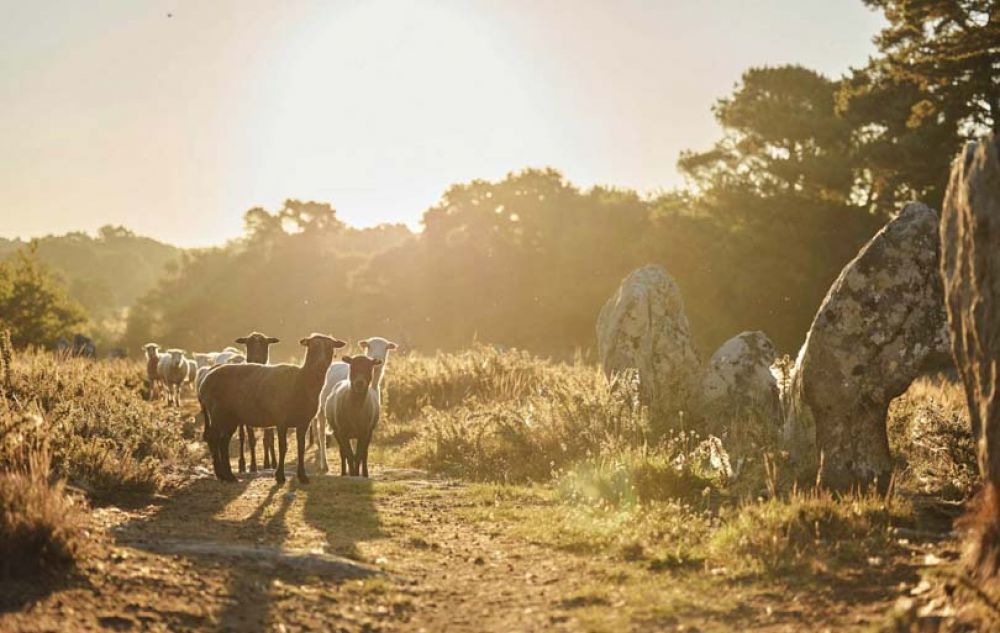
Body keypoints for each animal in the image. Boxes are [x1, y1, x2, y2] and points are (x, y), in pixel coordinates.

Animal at [197, 334, 346, 482]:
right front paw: (279, 475)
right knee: (213, 438)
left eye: (330, 348)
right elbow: (283, 447)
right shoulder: (281, 420)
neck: (301, 380)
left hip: (230, 418)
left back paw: (228, 475)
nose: (320, 365)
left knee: (223, 442)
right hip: (218, 412)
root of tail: (205, 381)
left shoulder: (303, 422)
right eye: (313, 347)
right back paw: (220, 473)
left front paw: (302, 476)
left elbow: (301, 447)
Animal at [312, 336, 394, 470]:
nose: (378, 358)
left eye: (386, 348)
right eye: (369, 346)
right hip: (322, 410)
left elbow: (360, 451)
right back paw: (324, 464)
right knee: (321, 434)